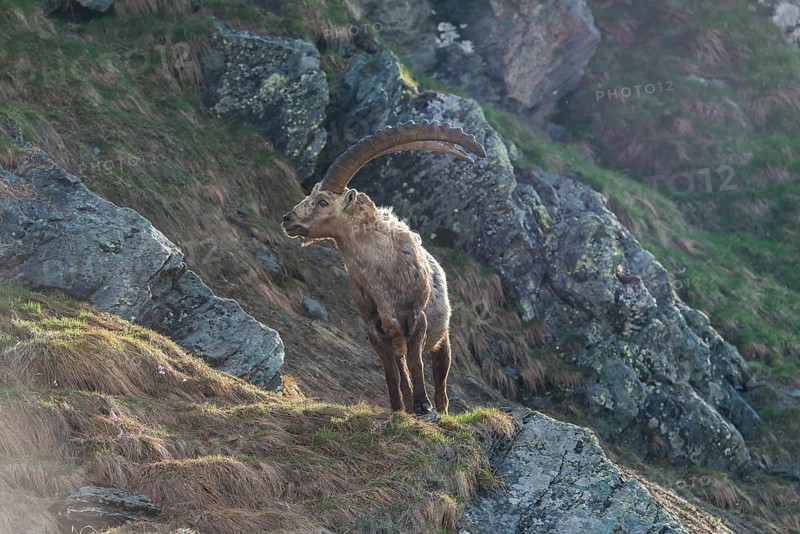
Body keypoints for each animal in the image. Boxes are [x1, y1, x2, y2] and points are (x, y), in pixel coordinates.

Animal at [282, 121, 486, 416]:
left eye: (323, 202)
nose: (287, 219)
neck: (382, 273)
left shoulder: (415, 318)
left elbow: (416, 363)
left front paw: (423, 405)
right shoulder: (376, 328)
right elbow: (392, 374)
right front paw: (397, 409)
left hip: (442, 340)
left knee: (440, 380)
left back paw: (437, 408)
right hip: (397, 340)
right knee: (402, 373)